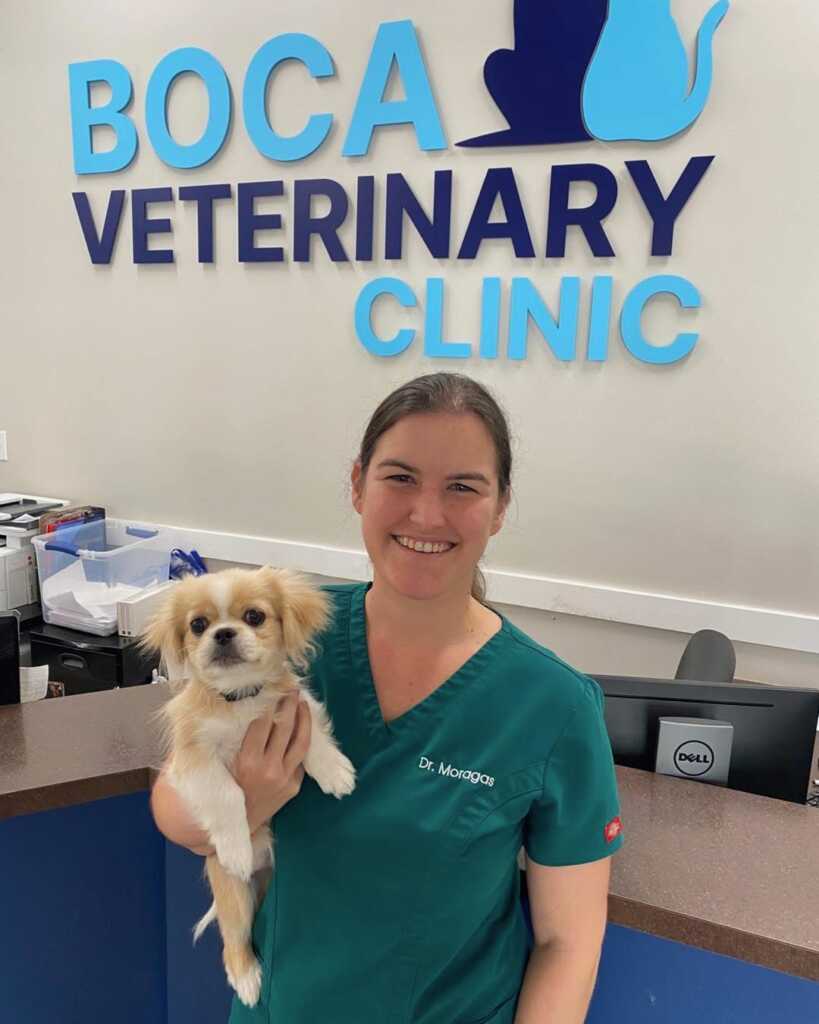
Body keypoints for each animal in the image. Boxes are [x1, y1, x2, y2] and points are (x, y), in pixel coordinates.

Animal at [144, 569, 354, 1007]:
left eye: (254, 616)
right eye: (198, 625)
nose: (223, 633)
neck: (240, 700)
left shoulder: (296, 709)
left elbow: (313, 735)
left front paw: (334, 771)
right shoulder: (194, 759)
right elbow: (227, 793)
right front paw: (236, 847)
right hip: (235, 897)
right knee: (233, 941)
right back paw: (247, 979)